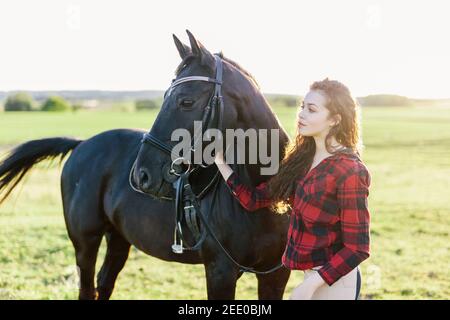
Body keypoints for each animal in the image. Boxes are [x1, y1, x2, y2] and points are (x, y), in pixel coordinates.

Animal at [0, 30, 292, 300]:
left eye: (186, 101)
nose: (142, 175)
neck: (262, 195)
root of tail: (81, 144)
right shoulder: (220, 271)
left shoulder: (275, 275)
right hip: (85, 243)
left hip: (118, 238)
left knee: (104, 283)